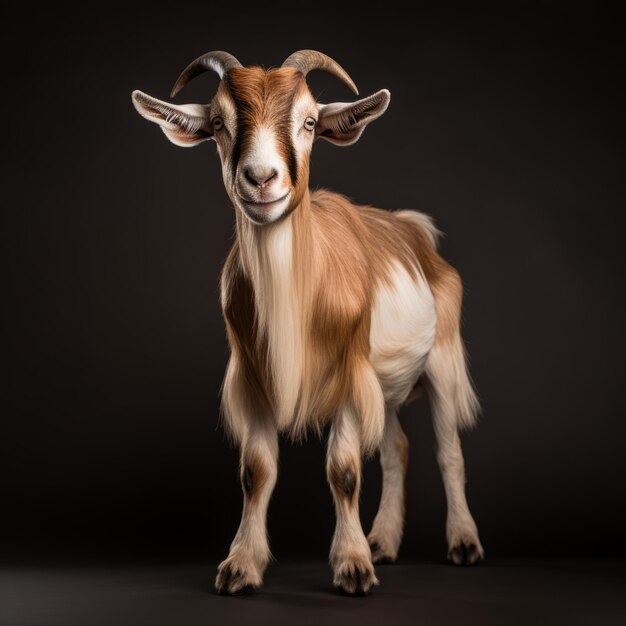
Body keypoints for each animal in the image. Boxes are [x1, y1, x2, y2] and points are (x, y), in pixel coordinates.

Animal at [133, 50, 482, 596]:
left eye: (310, 122)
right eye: (219, 123)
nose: (260, 178)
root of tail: (414, 230)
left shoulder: (348, 375)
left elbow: (344, 470)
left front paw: (352, 568)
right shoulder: (254, 378)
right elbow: (256, 470)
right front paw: (240, 566)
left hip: (442, 359)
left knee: (448, 450)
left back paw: (463, 544)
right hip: (382, 383)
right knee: (396, 448)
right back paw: (383, 542)